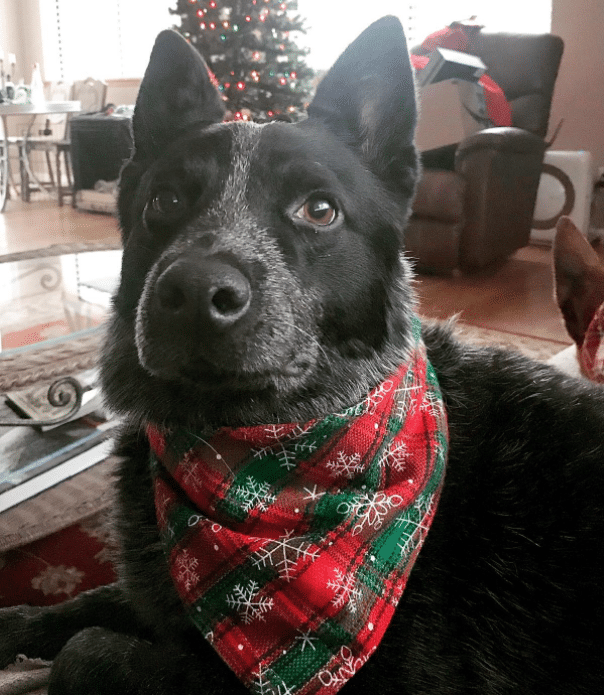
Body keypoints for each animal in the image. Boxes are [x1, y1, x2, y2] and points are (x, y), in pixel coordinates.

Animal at [1, 17, 604, 696]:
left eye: (319, 209)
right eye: (165, 202)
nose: (195, 294)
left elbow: (87, 649)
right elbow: (102, 600)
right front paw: (22, 621)